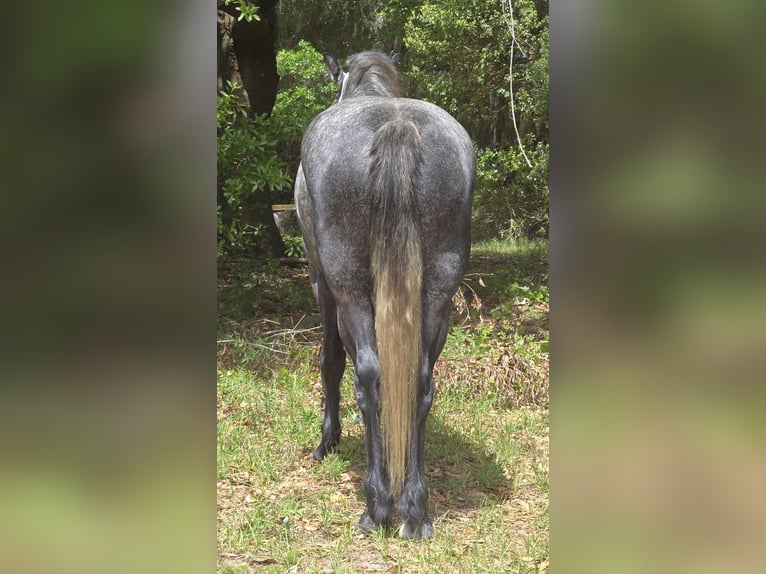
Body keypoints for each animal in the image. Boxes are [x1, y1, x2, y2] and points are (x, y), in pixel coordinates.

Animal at [295, 51, 475, 539]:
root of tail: (397, 125)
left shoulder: (321, 281)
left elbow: (331, 360)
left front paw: (327, 440)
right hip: (438, 293)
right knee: (421, 380)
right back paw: (414, 508)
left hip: (349, 289)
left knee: (369, 375)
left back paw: (377, 505)